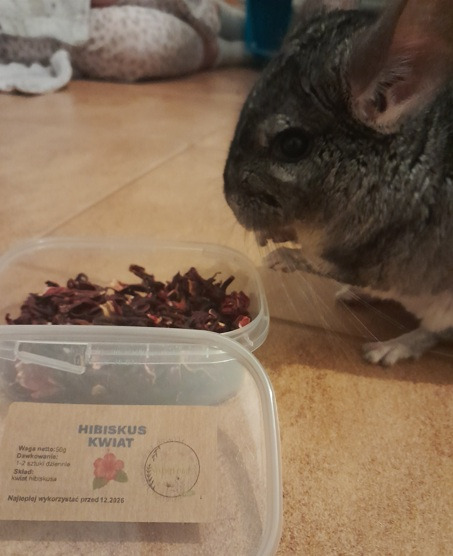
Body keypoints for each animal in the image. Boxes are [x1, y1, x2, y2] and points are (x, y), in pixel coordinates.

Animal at [224, 0, 453, 366]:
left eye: (292, 145)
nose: (229, 199)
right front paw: (267, 235)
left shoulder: (369, 258)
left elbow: (313, 261)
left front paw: (277, 258)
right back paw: (354, 297)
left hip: (444, 306)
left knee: (435, 333)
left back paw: (386, 349)